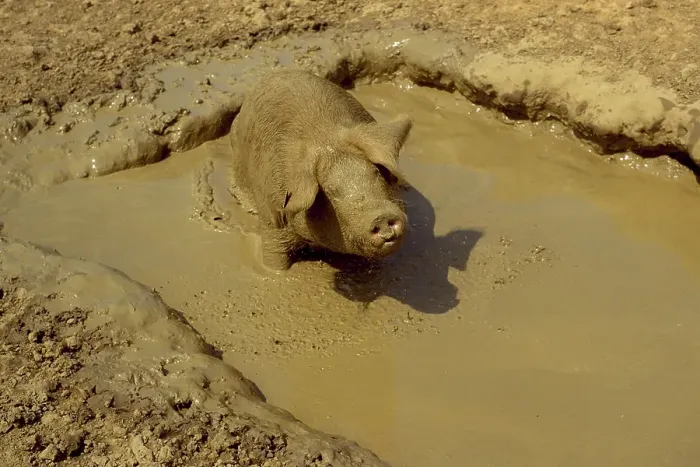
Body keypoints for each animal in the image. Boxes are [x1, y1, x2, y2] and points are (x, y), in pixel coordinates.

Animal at [228, 69, 413, 271]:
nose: (381, 216)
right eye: (330, 191)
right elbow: (274, 259)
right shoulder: (271, 218)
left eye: (376, 172)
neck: (325, 140)